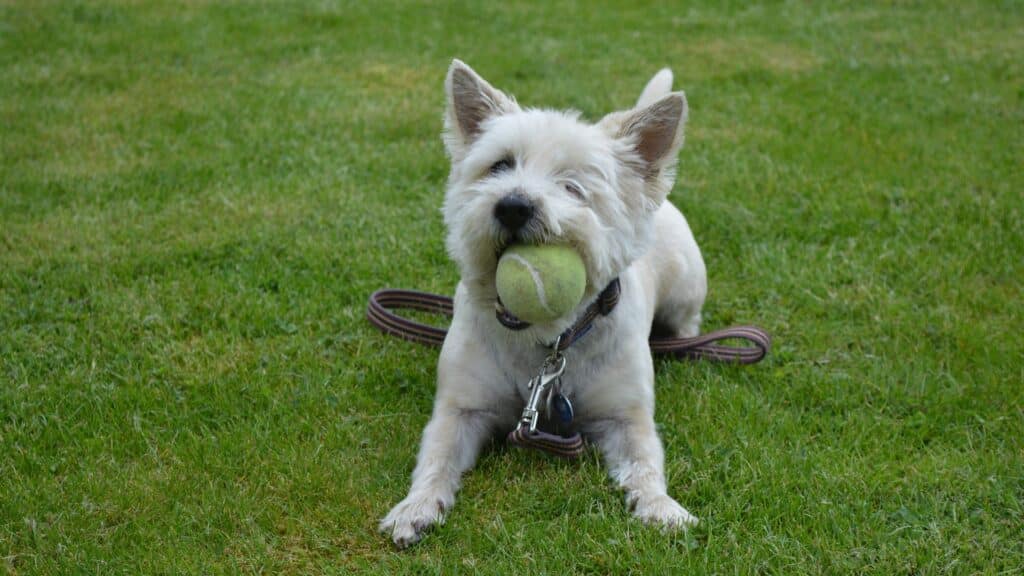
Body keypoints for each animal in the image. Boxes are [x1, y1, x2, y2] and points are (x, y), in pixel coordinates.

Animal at [380, 59, 708, 545]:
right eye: (499, 165)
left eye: (573, 186)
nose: (513, 206)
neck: (545, 343)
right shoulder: (461, 409)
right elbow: (436, 459)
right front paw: (414, 508)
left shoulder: (626, 417)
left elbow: (645, 465)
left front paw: (662, 509)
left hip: (686, 286)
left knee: (688, 322)